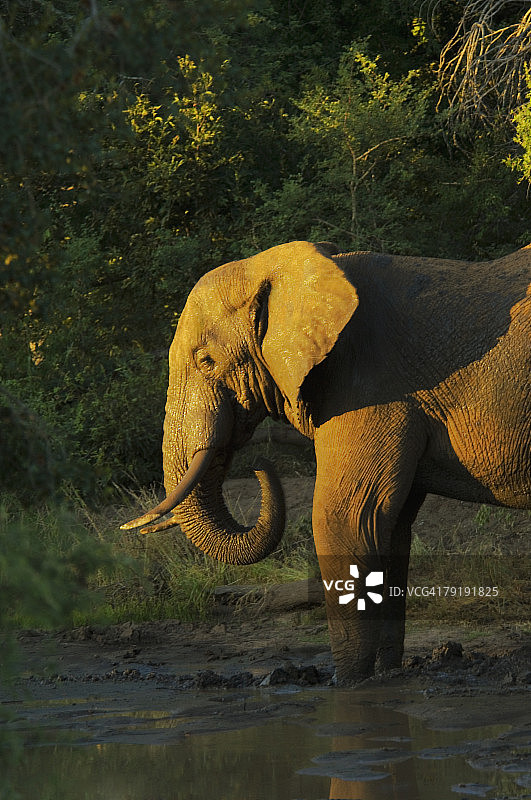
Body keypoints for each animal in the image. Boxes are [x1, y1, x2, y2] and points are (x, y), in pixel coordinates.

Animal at [122, 240, 531, 684]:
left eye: (206, 361)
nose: (260, 463)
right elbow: (389, 529)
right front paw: (386, 676)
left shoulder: (369, 389)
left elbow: (345, 519)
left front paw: (349, 684)